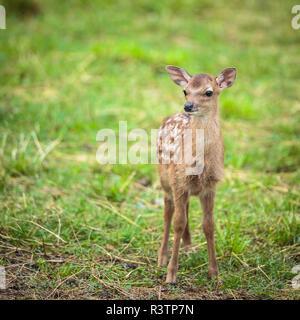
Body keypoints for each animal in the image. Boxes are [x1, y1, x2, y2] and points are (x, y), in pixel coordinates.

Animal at [157, 64, 237, 282]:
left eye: (208, 92)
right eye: (185, 91)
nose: (188, 106)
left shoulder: (211, 185)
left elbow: (208, 225)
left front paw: (215, 274)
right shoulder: (178, 180)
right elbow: (177, 222)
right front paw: (171, 274)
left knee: (185, 208)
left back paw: (189, 246)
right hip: (165, 179)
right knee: (168, 213)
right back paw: (162, 258)